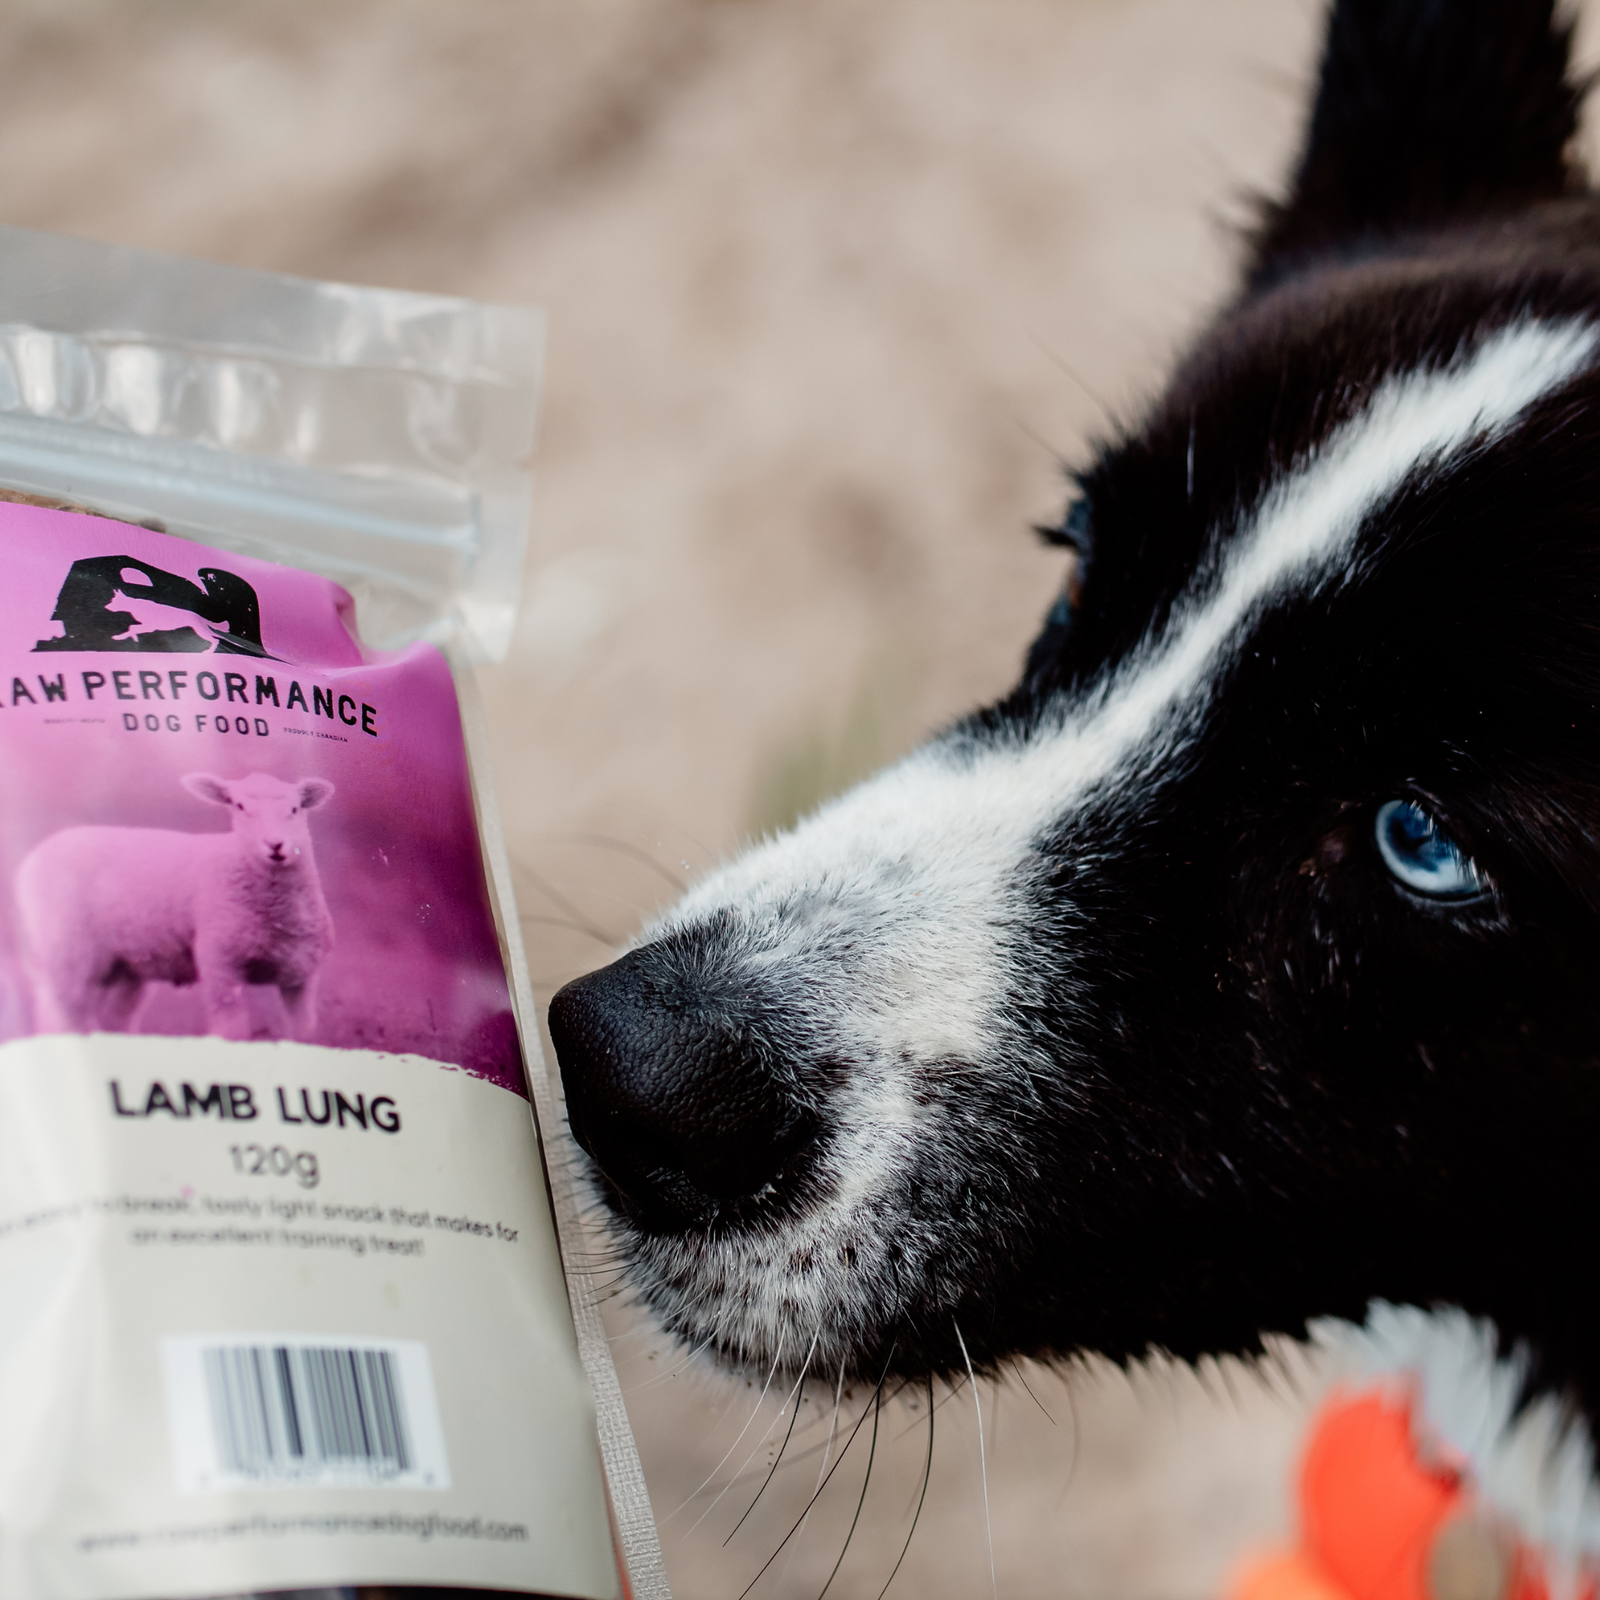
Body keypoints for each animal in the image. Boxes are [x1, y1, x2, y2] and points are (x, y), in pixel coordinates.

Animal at [15, 771, 336, 1041]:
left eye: (295, 809)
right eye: (239, 805)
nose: (275, 845)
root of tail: (34, 857)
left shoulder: (302, 974)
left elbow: (303, 1032)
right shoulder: (220, 964)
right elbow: (231, 1032)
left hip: (124, 967)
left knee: (114, 1019)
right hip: (66, 952)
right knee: (62, 1019)